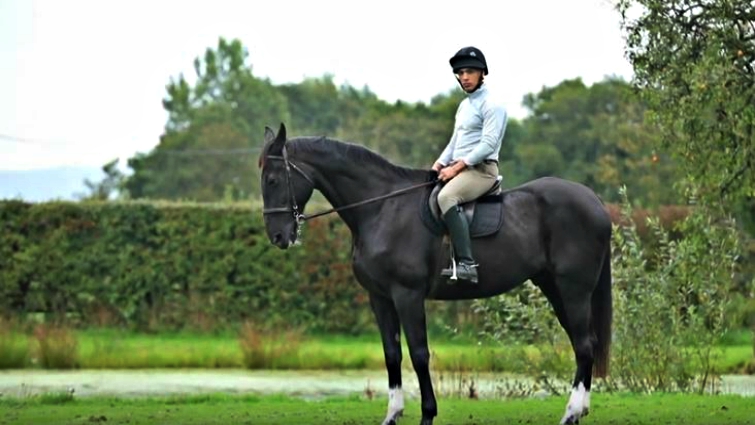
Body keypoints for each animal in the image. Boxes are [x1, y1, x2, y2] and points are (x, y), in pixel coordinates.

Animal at [258, 123, 612, 425]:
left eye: (273, 180)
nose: (278, 237)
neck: (382, 209)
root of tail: (595, 201)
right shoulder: (380, 297)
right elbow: (392, 354)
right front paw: (393, 414)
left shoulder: (407, 295)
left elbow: (418, 354)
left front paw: (427, 414)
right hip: (555, 289)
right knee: (583, 344)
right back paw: (580, 410)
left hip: (574, 290)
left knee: (584, 345)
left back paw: (570, 413)